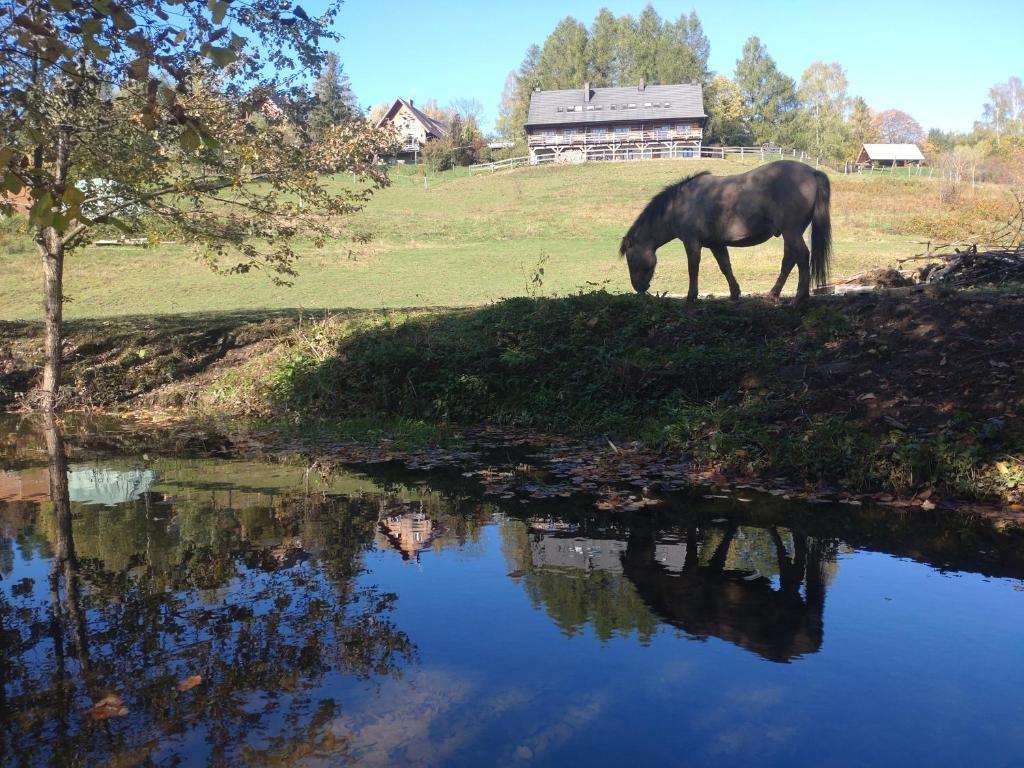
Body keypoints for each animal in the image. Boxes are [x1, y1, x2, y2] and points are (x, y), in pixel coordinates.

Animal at [614, 161, 831, 303]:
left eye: (630, 259)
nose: (638, 288)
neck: (680, 204)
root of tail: (812, 172)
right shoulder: (716, 244)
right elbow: (726, 267)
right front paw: (734, 294)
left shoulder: (692, 243)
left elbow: (693, 268)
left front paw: (691, 296)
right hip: (791, 233)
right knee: (789, 260)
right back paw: (774, 294)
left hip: (791, 231)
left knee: (801, 256)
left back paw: (799, 297)